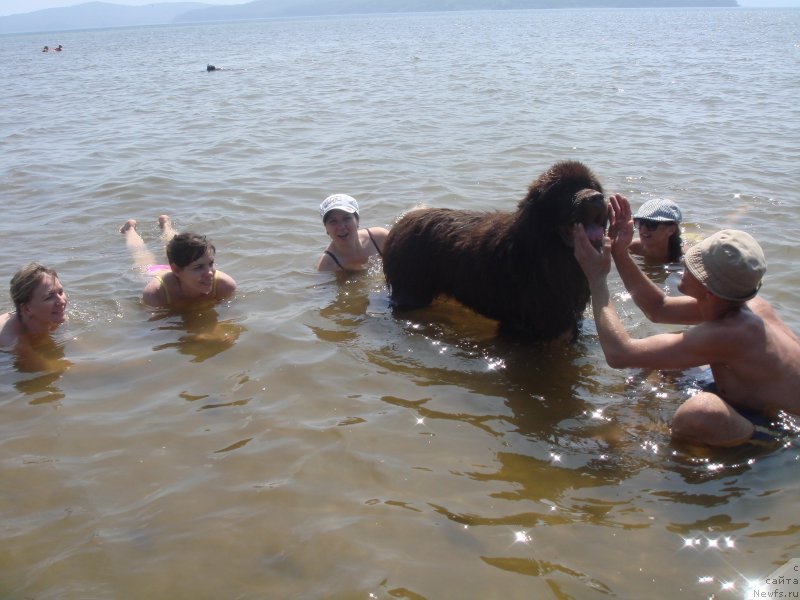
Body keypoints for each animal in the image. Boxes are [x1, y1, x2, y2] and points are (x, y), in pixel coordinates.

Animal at [382, 161, 608, 342]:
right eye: (565, 190)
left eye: (591, 186)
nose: (597, 198)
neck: (546, 251)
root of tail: (400, 224)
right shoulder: (521, 324)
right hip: (411, 290)